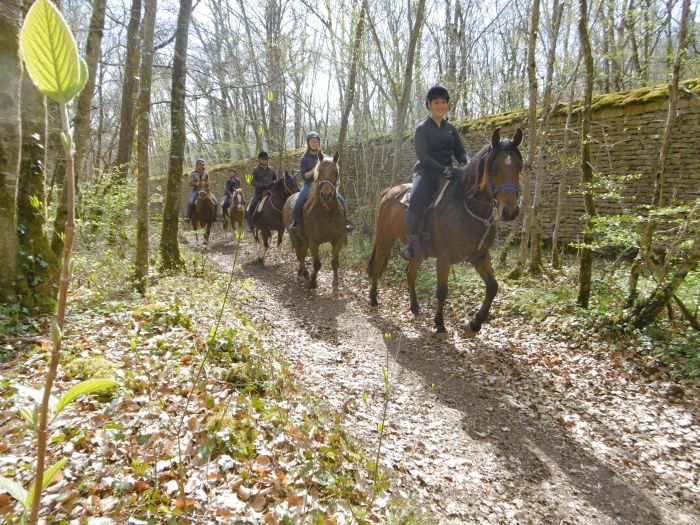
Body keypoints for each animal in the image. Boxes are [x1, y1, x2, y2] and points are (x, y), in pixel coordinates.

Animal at [278, 149, 344, 288]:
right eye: (318, 173)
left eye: (336, 172)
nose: (326, 195)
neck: (326, 213)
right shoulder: (313, 241)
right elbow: (317, 264)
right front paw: (313, 281)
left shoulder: (338, 239)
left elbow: (335, 262)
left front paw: (335, 284)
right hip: (294, 236)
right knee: (300, 255)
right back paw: (303, 273)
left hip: (304, 239)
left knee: (302, 253)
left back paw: (303, 272)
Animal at [370, 129, 524, 338]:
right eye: (494, 167)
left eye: (518, 166)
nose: (510, 211)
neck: (468, 207)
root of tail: (388, 192)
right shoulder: (444, 258)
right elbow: (442, 291)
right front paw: (440, 324)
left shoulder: (480, 256)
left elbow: (493, 287)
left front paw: (474, 324)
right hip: (385, 240)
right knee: (378, 265)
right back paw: (373, 298)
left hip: (419, 252)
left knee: (410, 273)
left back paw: (414, 307)